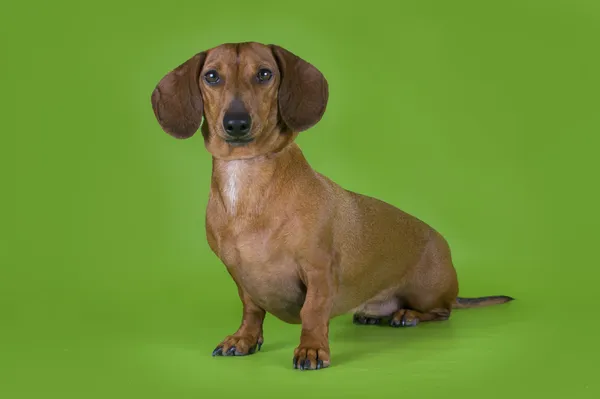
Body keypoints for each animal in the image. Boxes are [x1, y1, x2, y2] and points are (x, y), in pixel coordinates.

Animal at [150, 41, 510, 372]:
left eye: (265, 74)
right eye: (211, 76)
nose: (236, 123)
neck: (248, 177)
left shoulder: (318, 271)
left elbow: (312, 312)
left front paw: (311, 349)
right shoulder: (240, 276)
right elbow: (251, 311)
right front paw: (243, 339)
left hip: (427, 292)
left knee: (442, 311)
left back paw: (407, 314)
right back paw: (373, 314)